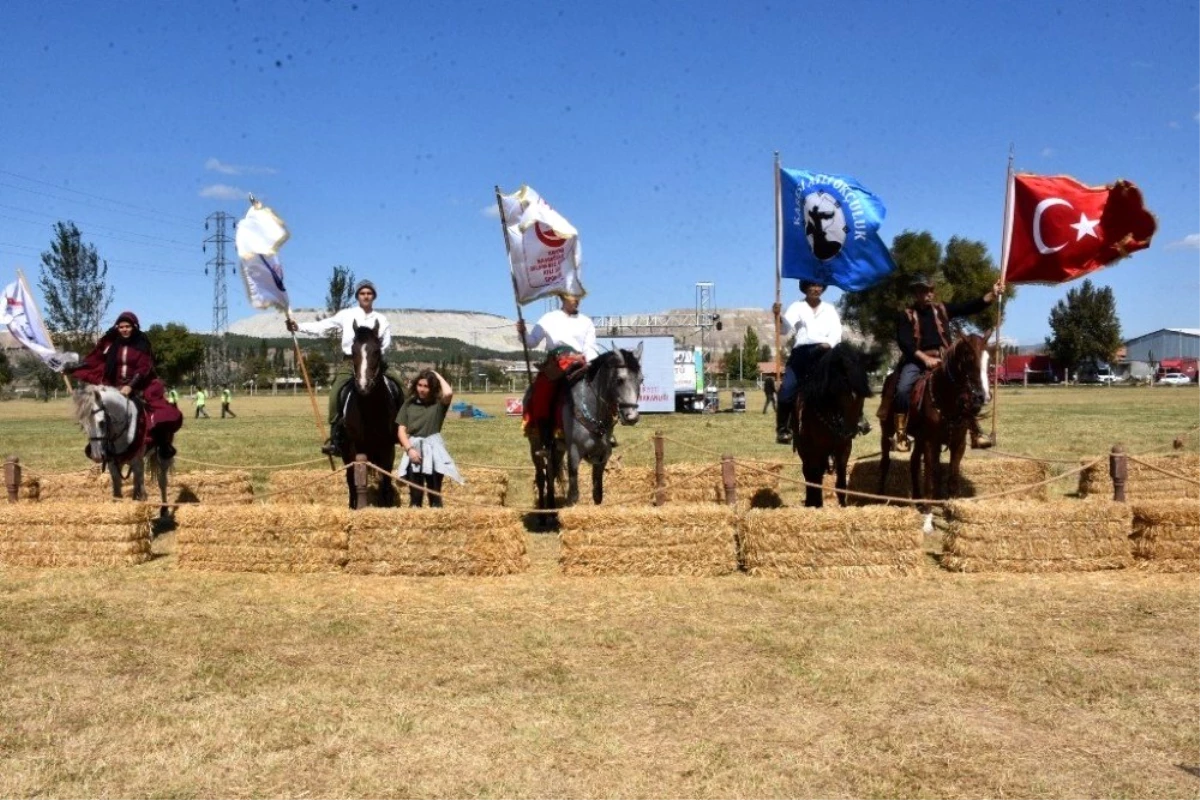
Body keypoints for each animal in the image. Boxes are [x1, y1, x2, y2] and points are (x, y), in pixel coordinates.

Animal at [74, 386, 171, 520]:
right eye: (83, 425)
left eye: (101, 422)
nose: (97, 456)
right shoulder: (113, 464)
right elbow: (117, 493)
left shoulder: (138, 463)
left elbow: (141, 492)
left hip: (162, 456)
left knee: (162, 482)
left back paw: (164, 509)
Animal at [340, 321, 400, 510]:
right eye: (353, 351)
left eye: (377, 351)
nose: (363, 386)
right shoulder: (355, 448)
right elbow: (354, 478)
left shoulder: (387, 447)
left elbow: (386, 479)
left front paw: (387, 504)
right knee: (350, 478)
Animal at [532, 343, 648, 510]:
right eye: (619, 379)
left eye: (641, 379)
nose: (632, 417)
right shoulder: (574, 454)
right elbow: (573, 496)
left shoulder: (602, 457)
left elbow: (597, 494)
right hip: (536, 444)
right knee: (541, 477)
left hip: (558, 448)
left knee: (550, 473)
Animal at [787, 343, 873, 506]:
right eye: (839, 390)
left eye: (862, 396)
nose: (850, 430)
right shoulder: (814, 449)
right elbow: (814, 477)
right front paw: (816, 504)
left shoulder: (844, 448)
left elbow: (841, 482)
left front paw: (842, 505)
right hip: (804, 449)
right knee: (809, 473)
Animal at [878, 331, 988, 513]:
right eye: (968, 357)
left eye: (988, 359)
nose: (980, 397)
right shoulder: (931, 441)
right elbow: (931, 471)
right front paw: (929, 507)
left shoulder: (958, 443)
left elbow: (952, 474)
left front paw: (951, 506)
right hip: (886, 430)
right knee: (885, 461)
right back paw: (880, 496)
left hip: (919, 438)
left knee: (914, 462)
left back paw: (917, 498)